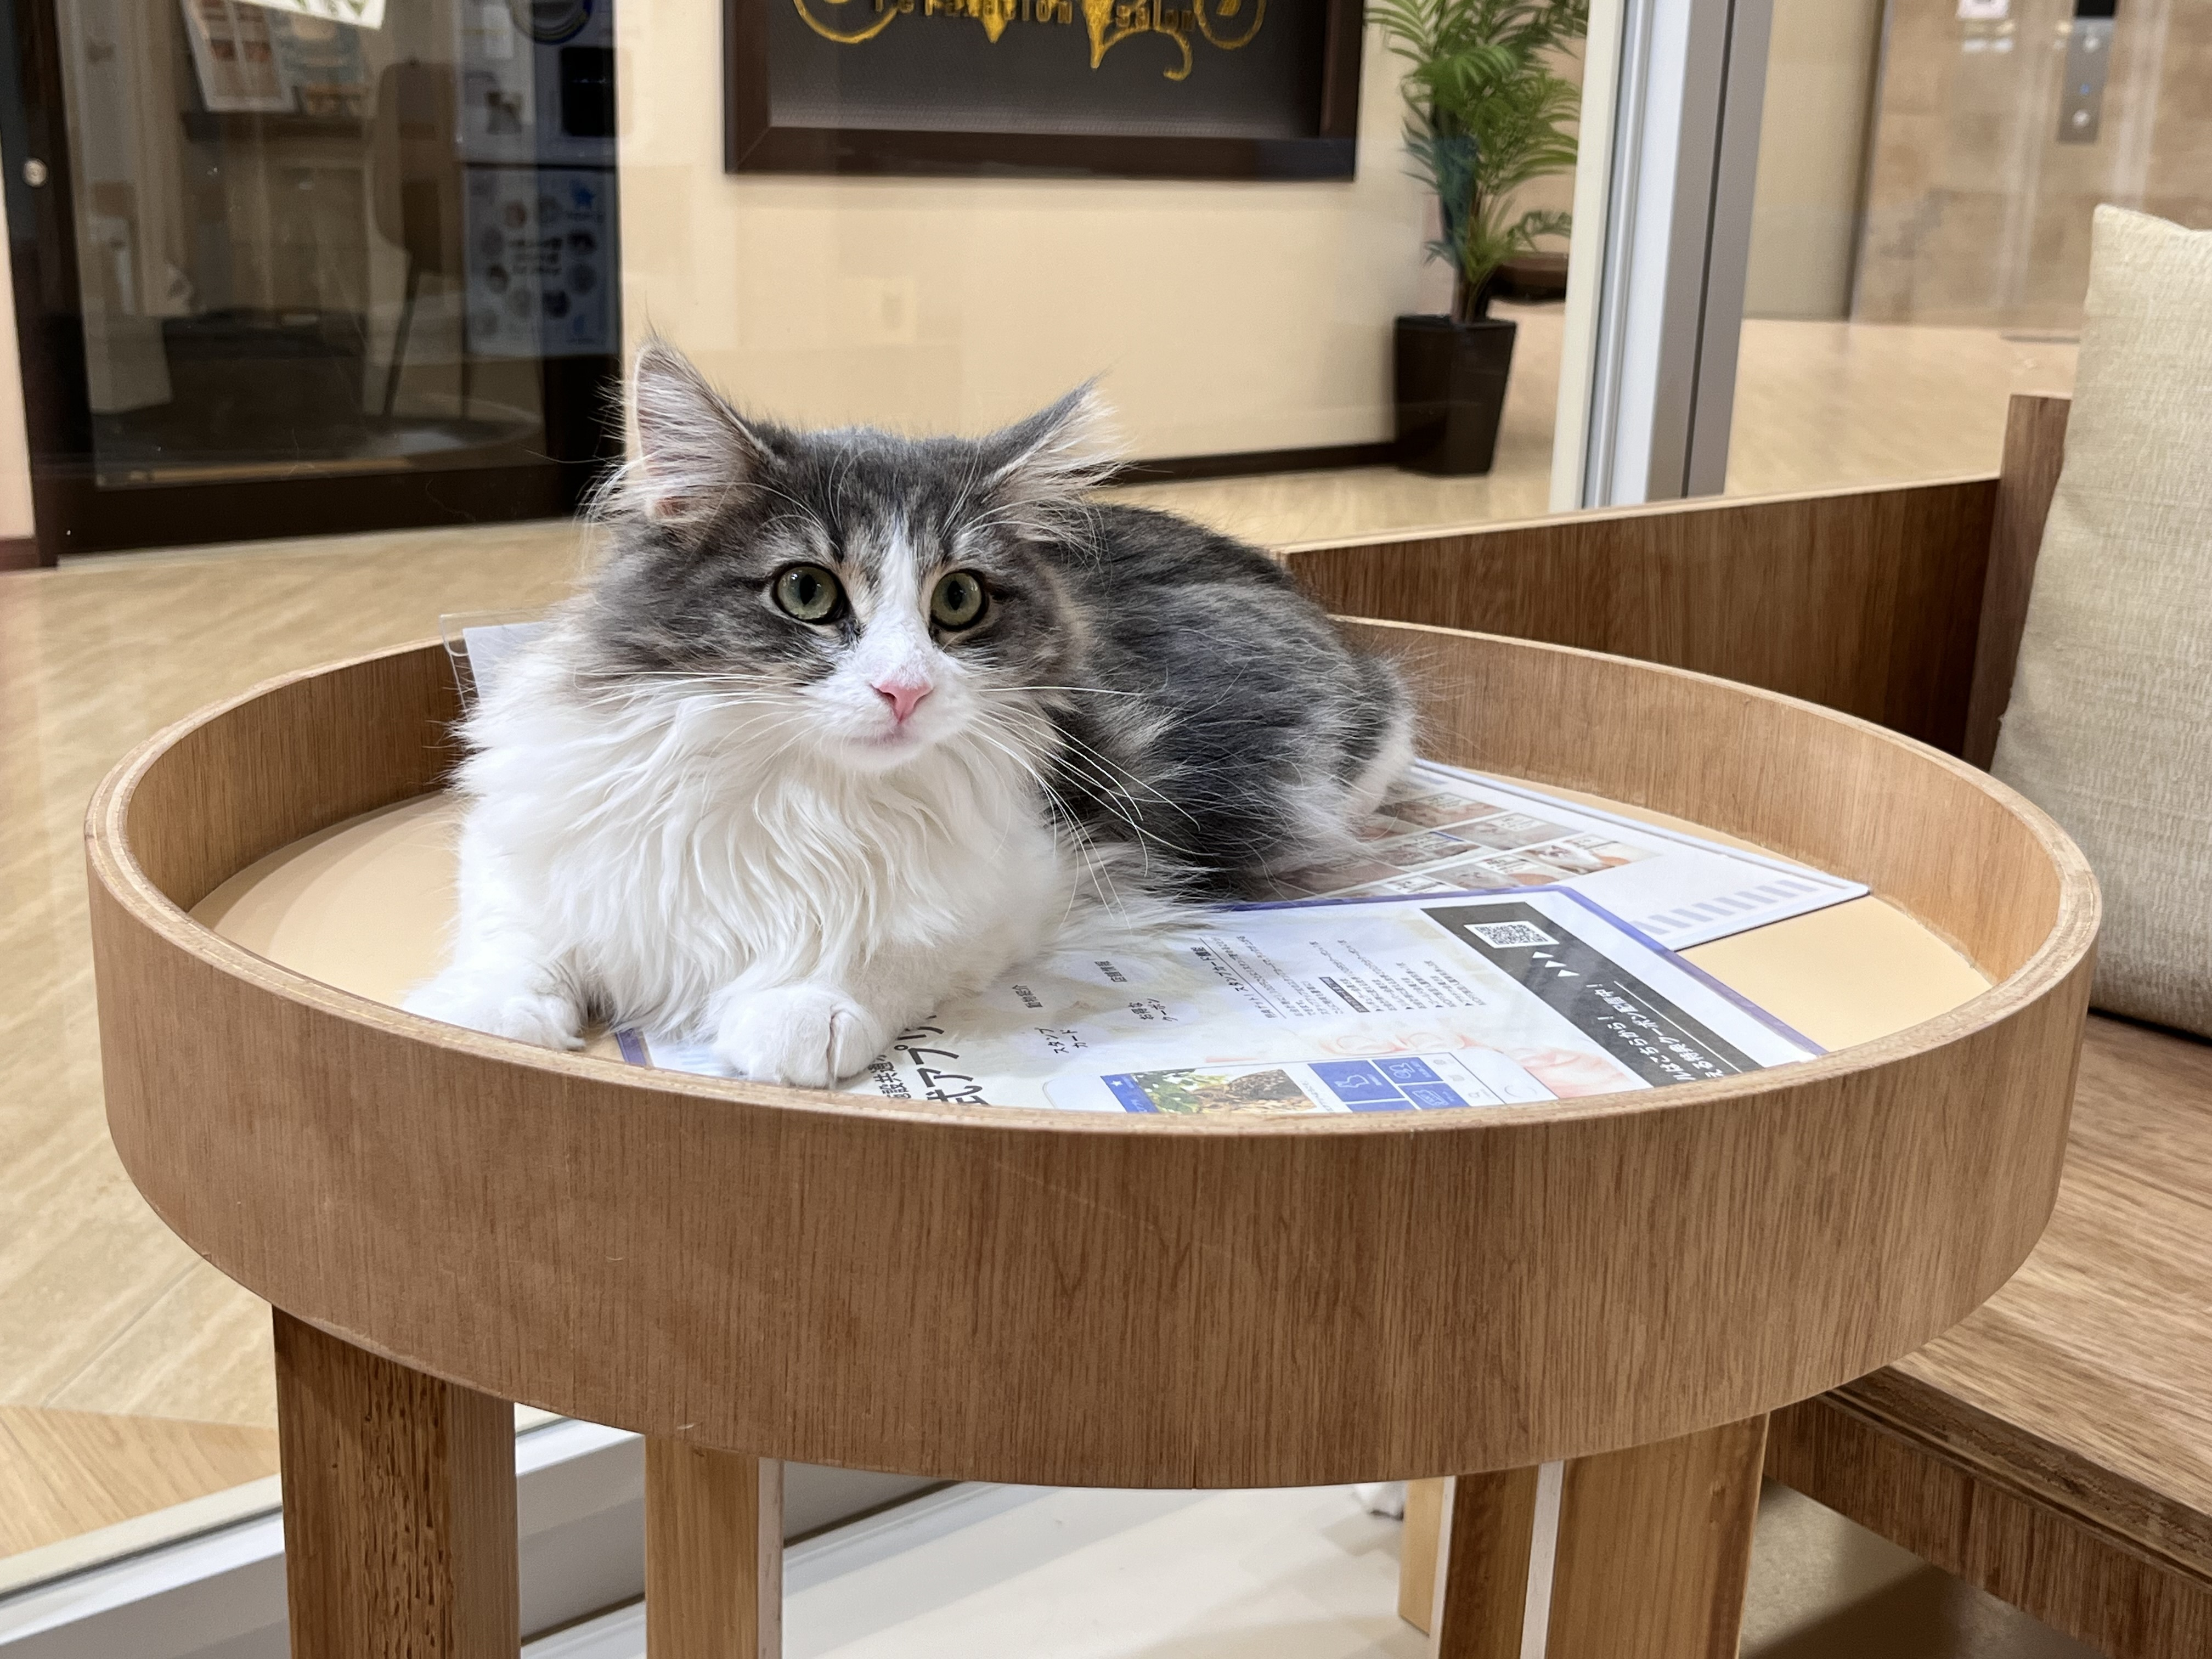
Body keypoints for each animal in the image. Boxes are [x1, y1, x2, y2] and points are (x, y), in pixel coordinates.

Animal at [403, 341, 1414, 1087]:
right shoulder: (524, 837)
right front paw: (480, 1014)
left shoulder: (1026, 876)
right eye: (806, 591)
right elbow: (514, 931)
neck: (788, 783)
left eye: (958, 600)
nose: (905, 688)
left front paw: (803, 1006)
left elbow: (893, 942)